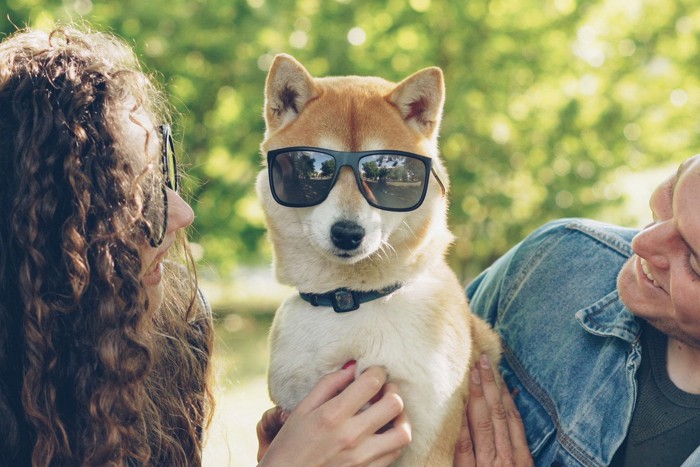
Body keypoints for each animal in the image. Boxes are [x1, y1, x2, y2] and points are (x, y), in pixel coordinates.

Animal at [258, 54, 504, 464]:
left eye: (387, 174)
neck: (351, 301)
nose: (347, 232)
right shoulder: (294, 404)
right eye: (312, 169)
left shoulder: (429, 436)